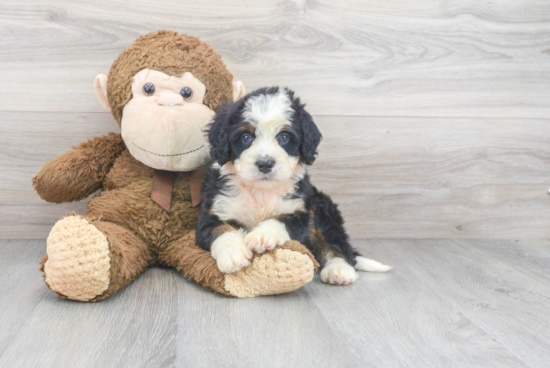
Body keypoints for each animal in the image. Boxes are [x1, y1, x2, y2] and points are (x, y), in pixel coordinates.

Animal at [198, 87, 392, 284]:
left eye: (284, 137)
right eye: (246, 137)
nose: (265, 163)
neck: (261, 191)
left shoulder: (299, 210)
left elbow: (282, 220)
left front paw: (262, 235)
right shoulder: (215, 209)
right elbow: (221, 229)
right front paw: (233, 253)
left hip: (321, 207)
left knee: (334, 241)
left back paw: (339, 269)